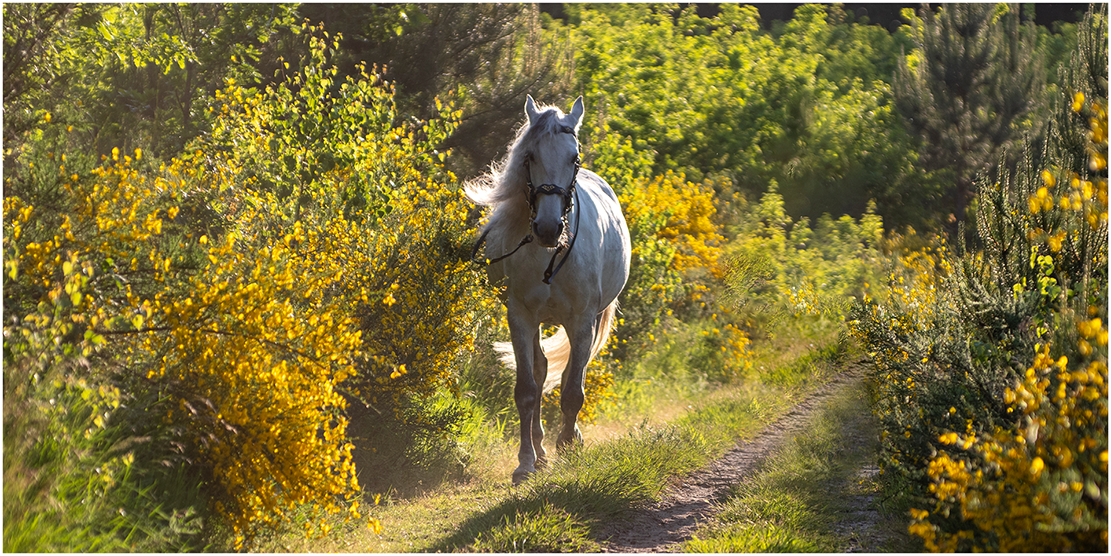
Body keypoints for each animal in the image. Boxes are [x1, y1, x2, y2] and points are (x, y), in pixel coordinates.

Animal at [464, 94, 631, 482]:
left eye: (574, 157)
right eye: (530, 157)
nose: (548, 228)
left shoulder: (582, 319)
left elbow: (572, 392)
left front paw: (568, 446)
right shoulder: (521, 316)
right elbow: (527, 388)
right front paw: (526, 462)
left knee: (572, 372)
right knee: (541, 370)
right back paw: (540, 451)